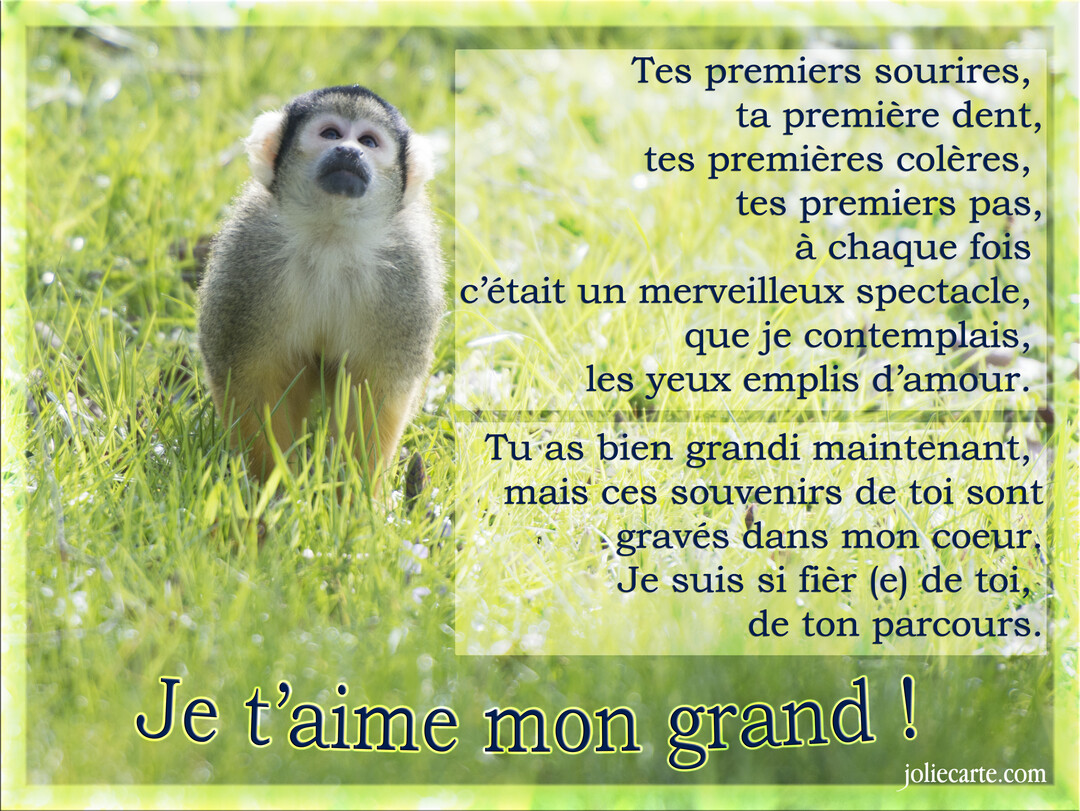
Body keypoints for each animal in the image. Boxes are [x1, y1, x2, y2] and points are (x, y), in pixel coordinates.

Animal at [197, 85, 445, 486]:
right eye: (330, 133)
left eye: (369, 141)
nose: (349, 151)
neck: (332, 237)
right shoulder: (247, 254)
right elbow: (251, 380)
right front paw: (274, 486)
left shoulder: (409, 271)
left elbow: (375, 392)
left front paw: (353, 494)